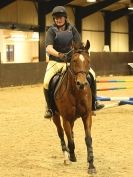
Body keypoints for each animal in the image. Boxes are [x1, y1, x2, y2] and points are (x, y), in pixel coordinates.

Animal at [50, 40, 95, 174]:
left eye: (88, 61)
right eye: (74, 61)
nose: (81, 84)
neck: (76, 92)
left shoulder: (87, 116)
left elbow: (88, 139)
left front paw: (91, 165)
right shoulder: (66, 118)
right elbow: (69, 138)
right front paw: (72, 156)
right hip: (56, 116)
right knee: (61, 133)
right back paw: (66, 157)